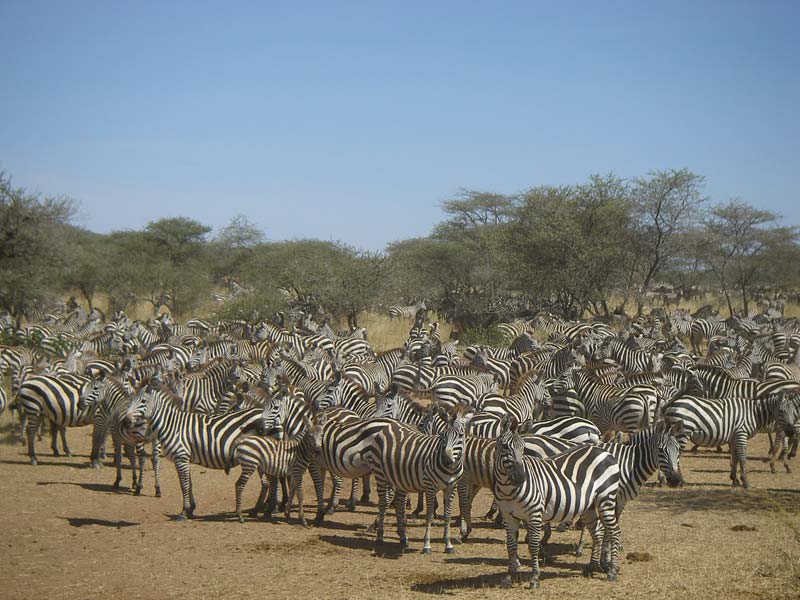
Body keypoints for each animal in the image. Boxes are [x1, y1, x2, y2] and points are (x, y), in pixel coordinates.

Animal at [120, 386, 262, 516]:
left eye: (143, 401)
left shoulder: (181, 457)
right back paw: (261, 510)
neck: (172, 425)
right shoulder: (184, 458)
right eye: (130, 400)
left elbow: (184, 485)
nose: (125, 422)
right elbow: (189, 483)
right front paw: (191, 508)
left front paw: (184, 511)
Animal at [368, 406, 472, 556]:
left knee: (399, 503)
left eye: (460, 435)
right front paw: (427, 546)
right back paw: (380, 536)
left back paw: (403, 537)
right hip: (380, 475)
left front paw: (448, 544)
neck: (450, 469)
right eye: (444, 435)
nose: (446, 460)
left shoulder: (451, 487)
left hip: (400, 479)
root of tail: (391, 425)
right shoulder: (430, 487)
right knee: (383, 503)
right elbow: (429, 516)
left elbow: (447, 516)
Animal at [490, 414, 620, 588]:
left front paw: (534, 578)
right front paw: (510, 576)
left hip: (606, 498)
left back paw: (612, 571)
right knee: (597, 532)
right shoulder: (508, 516)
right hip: (589, 507)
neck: (507, 489)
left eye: (523, 448)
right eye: (504, 446)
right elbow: (511, 546)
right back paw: (591, 568)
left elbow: (533, 545)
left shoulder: (535, 514)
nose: (521, 477)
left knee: (614, 531)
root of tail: (602, 450)